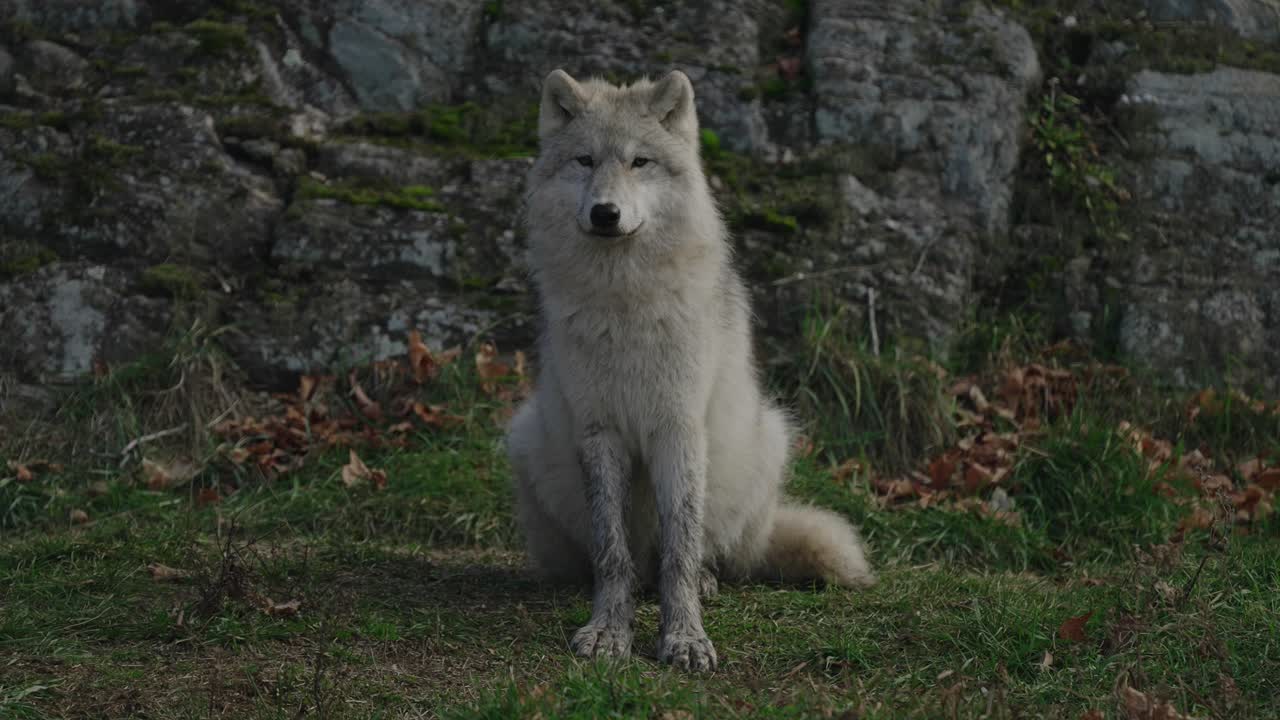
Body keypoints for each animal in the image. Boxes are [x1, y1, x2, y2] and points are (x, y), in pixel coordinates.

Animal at [505, 68, 876, 672]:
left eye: (639, 162)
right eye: (585, 160)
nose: (605, 213)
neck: (625, 304)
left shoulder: (677, 429)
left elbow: (680, 549)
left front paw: (684, 638)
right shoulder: (600, 431)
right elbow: (611, 552)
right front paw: (609, 631)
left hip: (765, 441)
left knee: (704, 555)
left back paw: (704, 580)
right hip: (524, 438)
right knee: (622, 562)